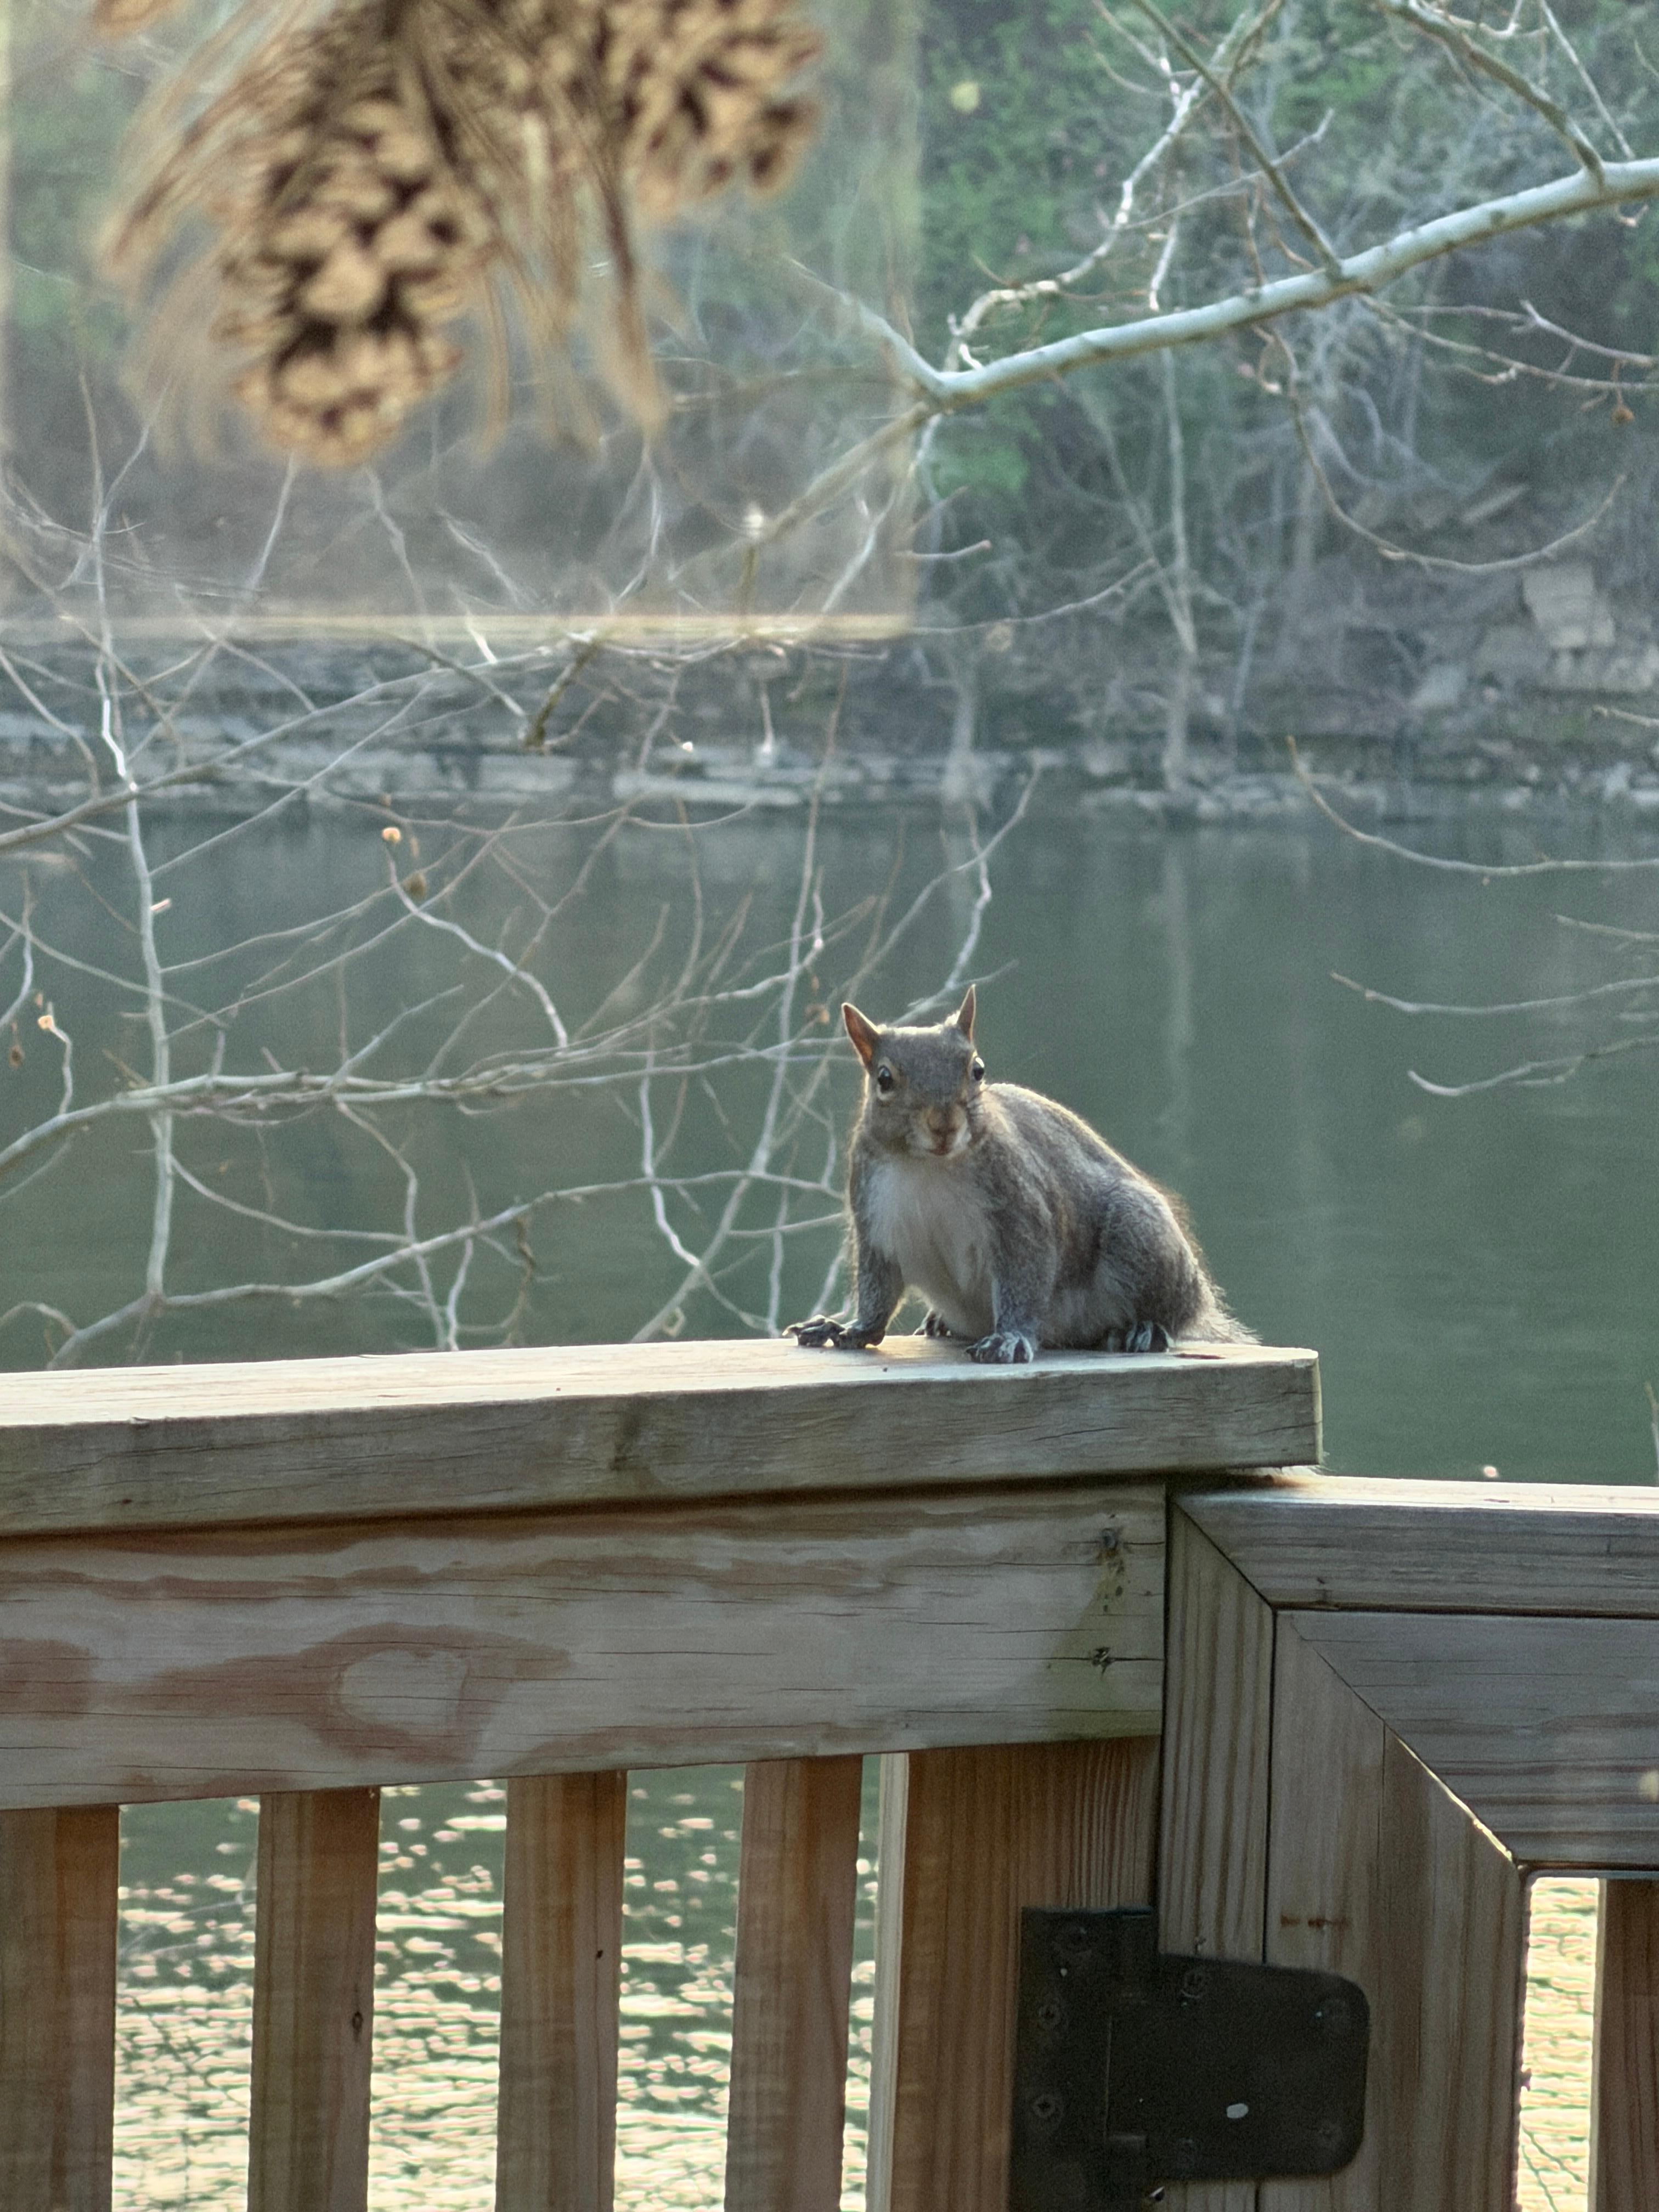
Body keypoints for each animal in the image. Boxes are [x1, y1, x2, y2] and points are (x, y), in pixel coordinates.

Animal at [786, 986, 1251, 1363]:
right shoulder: (876, 1222)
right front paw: (850, 1329)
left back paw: (1144, 1329)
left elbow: (1024, 1280)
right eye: (884, 1079)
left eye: (977, 1070)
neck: (930, 1167)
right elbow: (877, 1290)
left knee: (1172, 1310)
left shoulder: (1022, 1213)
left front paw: (1009, 1338)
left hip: (1139, 1235)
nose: (944, 1124)